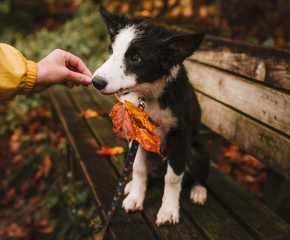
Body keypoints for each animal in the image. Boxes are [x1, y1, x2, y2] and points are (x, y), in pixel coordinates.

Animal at [93, 6, 208, 227]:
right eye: (111, 50)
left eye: (135, 58)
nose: (96, 82)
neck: (148, 96)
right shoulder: (136, 135)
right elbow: (138, 168)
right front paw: (136, 198)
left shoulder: (179, 137)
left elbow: (173, 177)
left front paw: (169, 211)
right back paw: (130, 186)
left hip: (196, 152)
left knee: (199, 176)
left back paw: (198, 191)